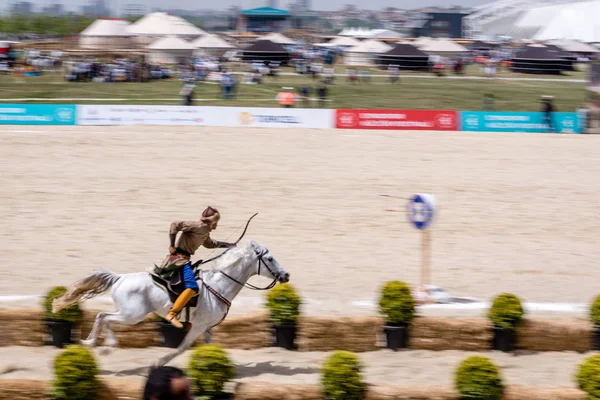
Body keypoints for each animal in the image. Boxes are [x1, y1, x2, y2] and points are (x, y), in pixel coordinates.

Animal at [52, 239, 292, 368]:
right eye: (269, 258)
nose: (286, 275)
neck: (219, 284)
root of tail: (120, 278)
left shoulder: (206, 327)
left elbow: (209, 345)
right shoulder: (198, 326)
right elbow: (182, 347)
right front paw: (159, 362)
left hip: (128, 313)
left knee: (103, 317)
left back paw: (94, 343)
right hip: (132, 315)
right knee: (104, 317)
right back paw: (102, 345)